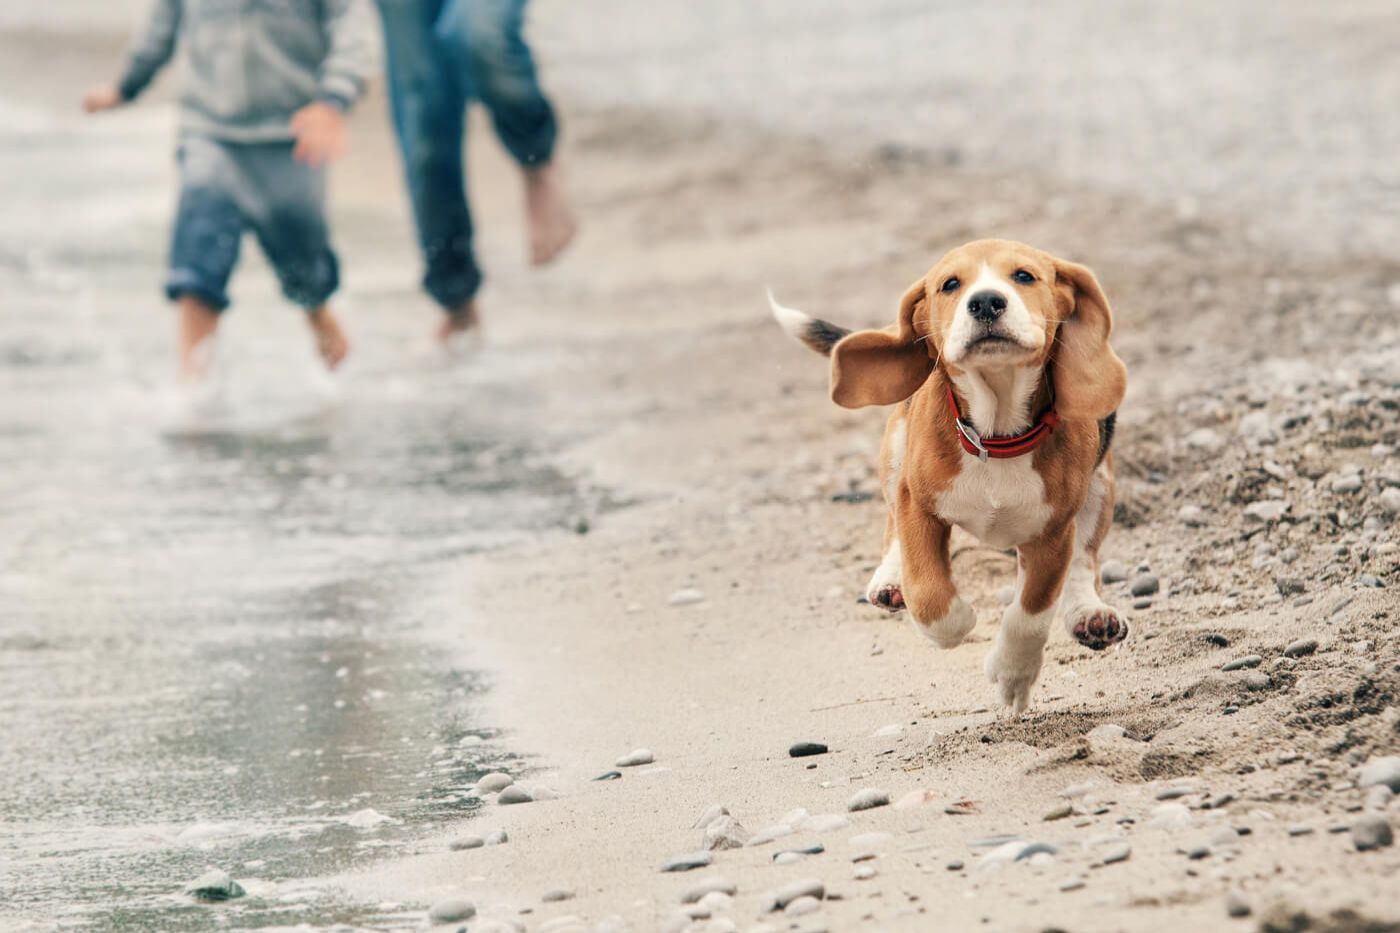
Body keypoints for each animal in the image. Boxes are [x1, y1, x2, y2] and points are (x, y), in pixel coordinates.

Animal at [772, 236, 1131, 708]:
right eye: (950, 285)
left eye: (1024, 276)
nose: (986, 302)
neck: (995, 435)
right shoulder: (918, 504)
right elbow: (928, 593)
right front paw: (957, 622)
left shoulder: (1053, 532)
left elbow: (1031, 611)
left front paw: (1013, 676)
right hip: (896, 449)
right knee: (892, 528)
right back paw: (890, 581)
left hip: (1100, 485)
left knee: (1085, 559)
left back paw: (1090, 615)